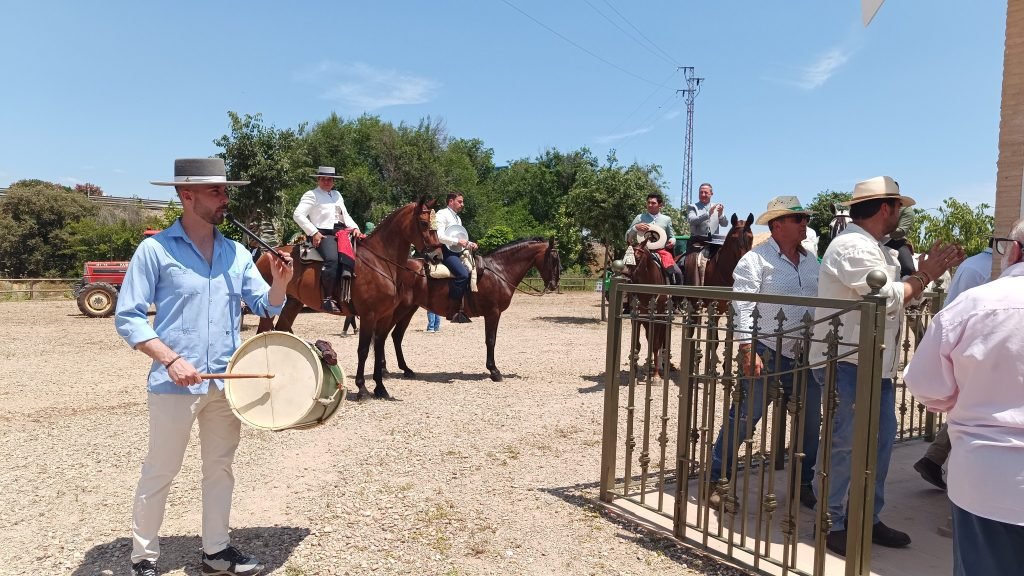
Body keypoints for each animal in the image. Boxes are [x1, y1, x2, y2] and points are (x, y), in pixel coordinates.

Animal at [255, 198, 443, 400]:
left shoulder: (384, 316)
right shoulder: (369, 315)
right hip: (269, 309)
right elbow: (363, 350)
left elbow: (378, 348)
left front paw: (380, 388)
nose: (437, 256)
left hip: (293, 303)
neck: (380, 262)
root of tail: (266, 254)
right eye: (423, 223)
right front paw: (362, 388)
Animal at [384, 237, 561, 382]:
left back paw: (404, 370)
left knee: (396, 336)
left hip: (409, 309)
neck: (499, 271)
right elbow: (491, 340)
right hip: (400, 309)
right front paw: (494, 371)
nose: (554, 285)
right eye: (553, 259)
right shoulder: (492, 313)